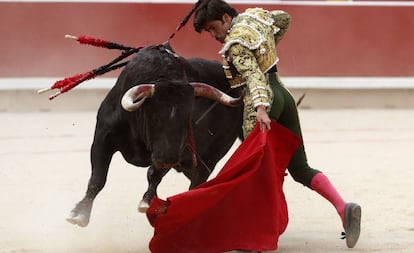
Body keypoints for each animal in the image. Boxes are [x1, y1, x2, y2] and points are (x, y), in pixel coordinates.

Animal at [66, 44, 244, 227]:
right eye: (155, 117)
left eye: (188, 118)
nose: (168, 159)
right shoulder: (103, 137)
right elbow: (97, 178)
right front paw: (80, 214)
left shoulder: (173, 150)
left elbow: (154, 173)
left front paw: (146, 202)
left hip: (208, 158)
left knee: (197, 183)